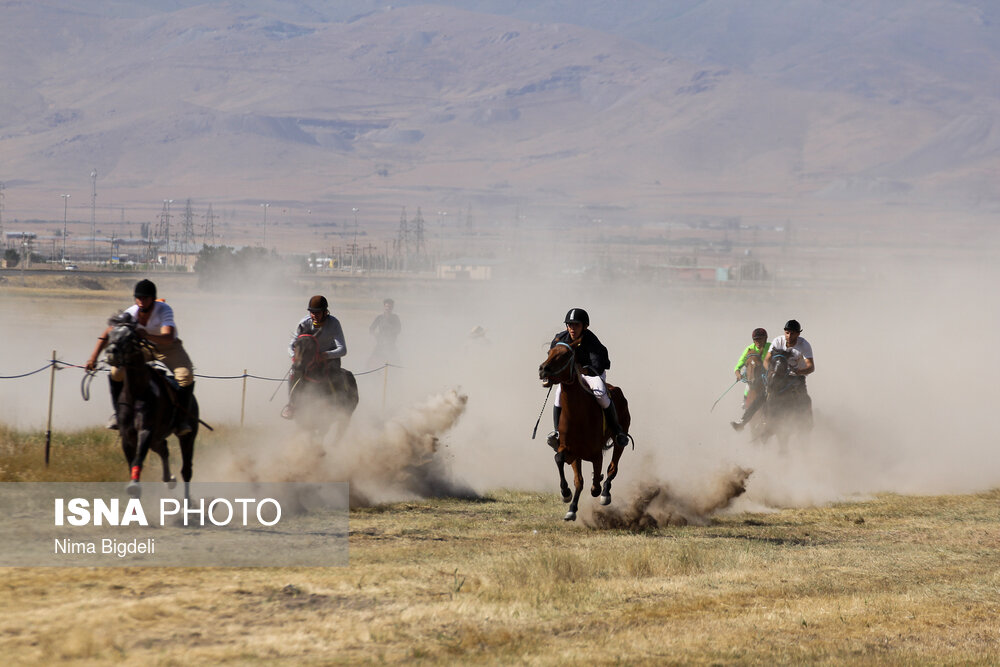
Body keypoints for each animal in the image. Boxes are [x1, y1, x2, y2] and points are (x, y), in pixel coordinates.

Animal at [103, 316, 197, 498]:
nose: (111, 352)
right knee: (164, 449)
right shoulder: (127, 435)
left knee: (186, 470)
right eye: (111, 334)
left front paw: (133, 485)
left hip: (187, 437)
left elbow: (138, 459)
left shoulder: (145, 431)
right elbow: (133, 462)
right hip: (157, 438)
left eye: (130, 337)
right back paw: (169, 479)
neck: (136, 393)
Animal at [540, 344, 632, 520]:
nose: (542, 370)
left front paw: (597, 489)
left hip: (620, 439)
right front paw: (568, 499)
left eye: (565, 355)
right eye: (549, 352)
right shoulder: (571, 452)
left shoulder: (595, 454)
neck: (578, 416)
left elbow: (595, 481)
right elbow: (573, 474)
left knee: (613, 466)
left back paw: (605, 493)